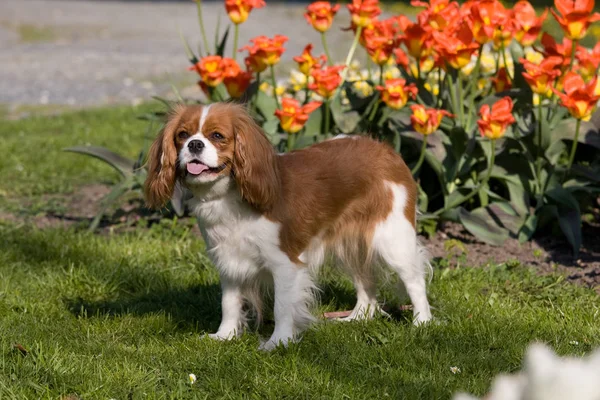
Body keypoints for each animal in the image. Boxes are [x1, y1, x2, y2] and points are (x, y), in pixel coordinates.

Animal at [143, 103, 434, 350]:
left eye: (217, 136)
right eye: (182, 135)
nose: (194, 144)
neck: (228, 197)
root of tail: (384, 149)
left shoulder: (284, 263)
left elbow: (282, 306)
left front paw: (278, 343)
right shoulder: (228, 260)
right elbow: (229, 302)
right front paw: (224, 336)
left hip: (393, 239)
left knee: (415, 281)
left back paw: (422, 323)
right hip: (351, 242)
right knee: (365, 283)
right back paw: (357, 317)